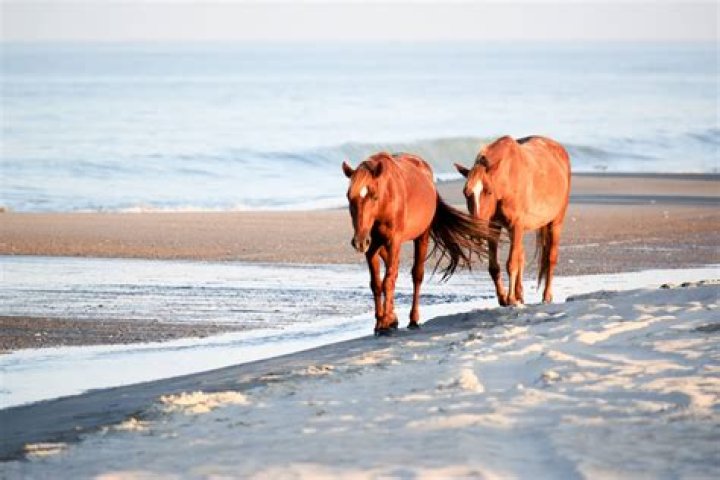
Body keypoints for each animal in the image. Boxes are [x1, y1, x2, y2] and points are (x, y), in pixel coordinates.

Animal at [342, 152, 498, 335]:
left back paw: (413, 319)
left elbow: (388, 281)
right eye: (349, 197)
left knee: (417, 275)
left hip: (422, 236)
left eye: (374, 196)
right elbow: (376, 284)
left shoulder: (393, 241)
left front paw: (386, 322)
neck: (386, 200)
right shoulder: (371, 246)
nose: (359, 242)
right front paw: (382, 321)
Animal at [454, 135, 571, 306]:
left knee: (551, 257)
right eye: (465, 192)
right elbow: (495, 267)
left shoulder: (516, 226)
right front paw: (504, 297)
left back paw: (546, 296)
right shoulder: (495, 227)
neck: (507, 180)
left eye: (488, 191)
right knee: (521, 256)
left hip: (556, 222)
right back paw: (520, 294)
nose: (477, 229)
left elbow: (511, 264)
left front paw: (510, 299)